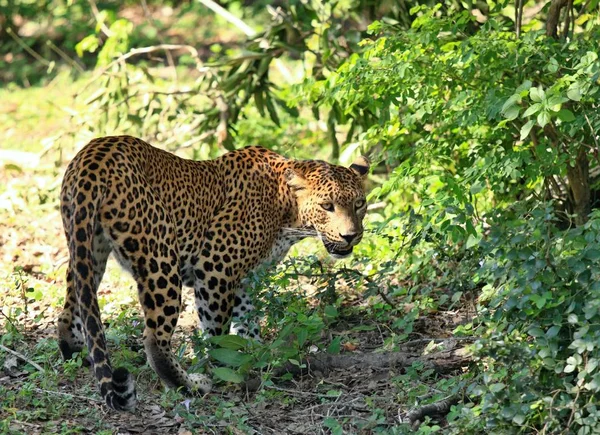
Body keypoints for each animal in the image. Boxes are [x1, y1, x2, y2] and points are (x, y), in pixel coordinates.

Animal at [59, 136, 370, 412]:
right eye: (327, 206)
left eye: (359, 204)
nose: (351, 236)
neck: (287, 210)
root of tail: (92, 159)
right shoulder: (215, 265)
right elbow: (216, 329)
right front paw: (223, 367)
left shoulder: (245, 279)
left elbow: (246, 321)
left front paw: (254, 354)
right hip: (161, 257)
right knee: (154, 338)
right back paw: (191, 385)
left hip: (87, 248)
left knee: (71, 310)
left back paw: (76, 354)